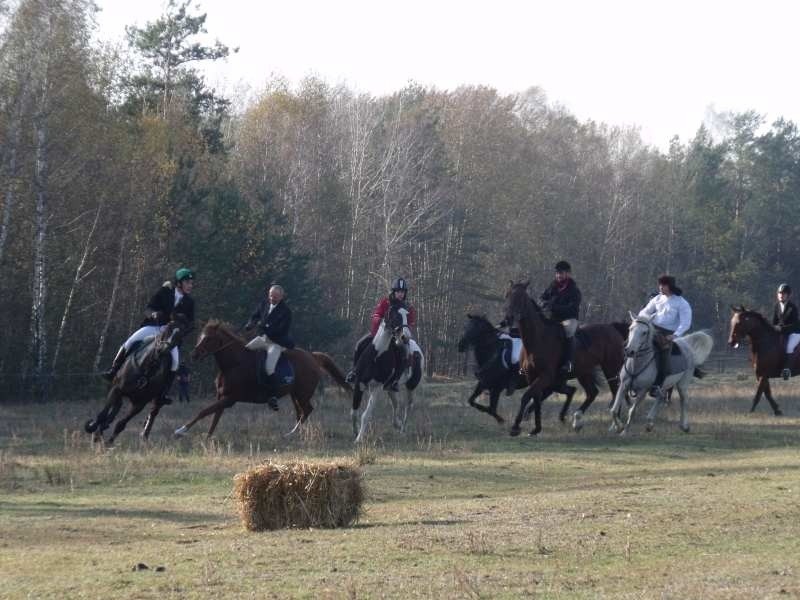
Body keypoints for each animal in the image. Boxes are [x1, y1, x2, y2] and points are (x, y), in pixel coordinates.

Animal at [173, 322, 352, 438]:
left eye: (209, 339)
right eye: (200, 337)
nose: (194, 355)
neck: (233, 364)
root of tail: (312, 356)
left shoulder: (230, 398)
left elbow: (204, 411)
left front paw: (180, 431)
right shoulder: (222, 397)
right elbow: (215, 416)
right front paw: (208, 438)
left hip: (302, 393)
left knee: (306, 410)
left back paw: (291, 434)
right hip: (294, 394)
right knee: (301, 412)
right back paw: (295, 433)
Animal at [352, 304, 424, 440]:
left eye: (407, 315)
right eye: (395, 315)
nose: (405, 337)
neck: (376, 356)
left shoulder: (377, 387)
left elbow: (366, 415)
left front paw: (359, 439)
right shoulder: (359, 383)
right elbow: (354, 411)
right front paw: (355, 431)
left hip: (411, 385)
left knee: (408, 406)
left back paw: (402, 430)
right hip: (390, 388)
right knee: (395, 404)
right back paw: (397, 423)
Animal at [504, 282, 628, 436]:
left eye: (521, 297)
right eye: (508, 295)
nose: (508, 318)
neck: (537, 339)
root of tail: (612, 328)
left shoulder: (545, 376)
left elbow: (526, 396)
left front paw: (516, 426)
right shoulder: (532, 376)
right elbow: (536, 399)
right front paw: (536, 428)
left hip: (610, 368)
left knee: (616, 390)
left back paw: (615, 425)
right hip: (583, 372)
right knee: (592, 392)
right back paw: (577, 421)